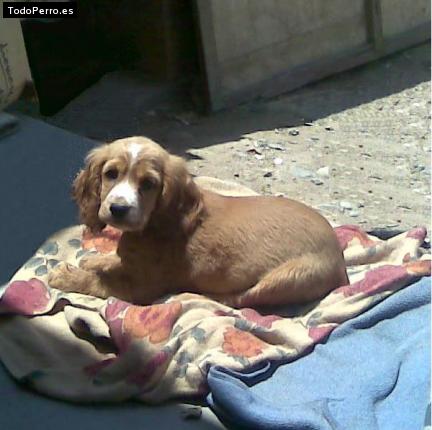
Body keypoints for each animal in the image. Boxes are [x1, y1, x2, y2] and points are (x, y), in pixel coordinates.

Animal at [49, 136, 350, 308]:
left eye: (148, 184)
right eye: (111, 174)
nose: (118, 209)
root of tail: (341, 263)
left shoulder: (141, 287)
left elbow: (98, 282)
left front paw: (68, 275)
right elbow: (113, 261)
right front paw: (96, 260)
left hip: (288, 278)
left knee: (241, 300)